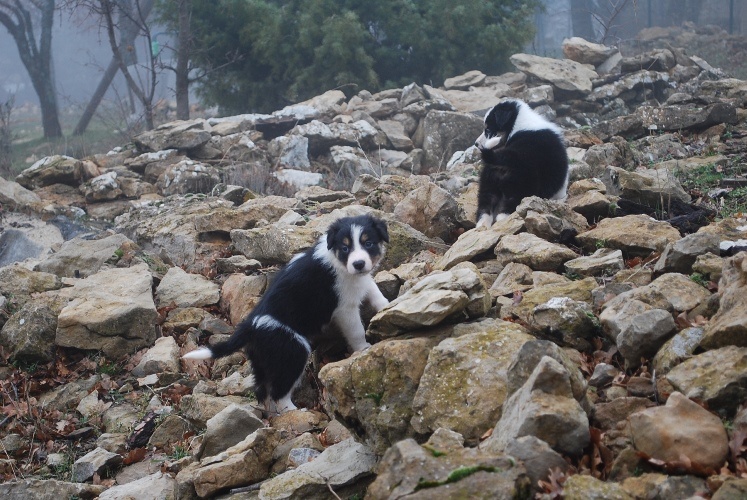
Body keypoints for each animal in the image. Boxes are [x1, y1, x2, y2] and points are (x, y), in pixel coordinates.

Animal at [183, 215, 392, 414]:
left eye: (368, 243)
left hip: (263, 361)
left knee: (263, 390)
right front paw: (364, 348)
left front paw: (387, 306)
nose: (358, 264)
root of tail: (251, 326)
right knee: (279, 392)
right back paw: (296, 412)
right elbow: (356, 331)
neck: (337, 261)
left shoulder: (361, 282)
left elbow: (374, 291)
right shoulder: (345, 308)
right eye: (345, 247)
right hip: (292, 351)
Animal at [476, 97, 568, 229]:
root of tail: (508, 158)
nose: (476, 144)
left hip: (489, 183)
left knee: (485, 208)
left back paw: (482, 227)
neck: (519, 124)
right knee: (505, 211)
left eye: (488, 130)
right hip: (521, 187)